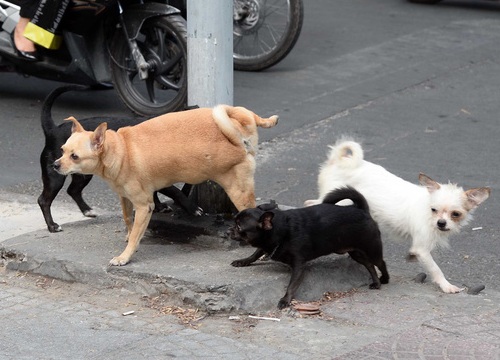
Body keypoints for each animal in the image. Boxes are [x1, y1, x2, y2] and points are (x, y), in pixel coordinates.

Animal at [57, 105, 282, 266]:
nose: (55, 164)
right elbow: (128, 220)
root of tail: (239, 136)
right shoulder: (125, 199)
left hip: (239, 193)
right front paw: (129, 236)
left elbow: (136, 233)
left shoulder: (144, 206)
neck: (121, 149)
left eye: (74, 156)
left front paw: (125, 256)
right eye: (62, 150)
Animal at [230, 187, 390, 308]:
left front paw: (285, 300)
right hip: (356, 253)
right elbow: (255, 254)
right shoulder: (266, 245)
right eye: (234, 221)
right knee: (369, 265)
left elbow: (291, 285)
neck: (280, 230)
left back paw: (384, 279)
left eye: (239, 227)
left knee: (380, 263)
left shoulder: (299, 266)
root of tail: (362, 210)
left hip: (371, 249)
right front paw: (243, 261)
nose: (229, 229)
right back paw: (376, 282)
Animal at [302, 139, 490, 294]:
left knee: (310, 202)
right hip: (342, 203)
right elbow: (435, 269)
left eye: (456, 214)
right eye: (434, 210)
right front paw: (447, 286)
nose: (441, 223)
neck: (427, 210)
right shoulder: (422, 249)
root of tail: (339, 161)